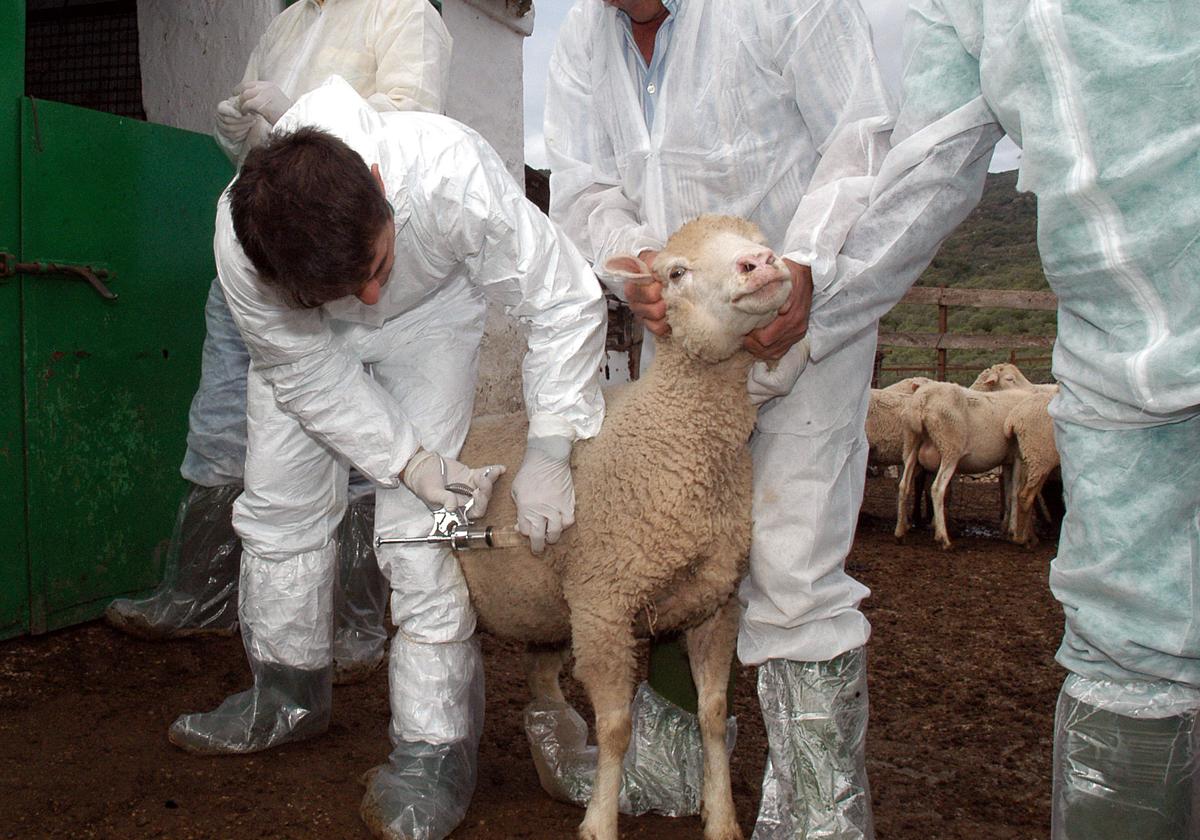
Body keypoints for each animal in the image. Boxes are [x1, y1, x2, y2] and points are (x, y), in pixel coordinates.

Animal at [453, 214, 792, 840]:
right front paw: (600, 822)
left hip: (545, 602)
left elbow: (712, 715)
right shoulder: (605, 607)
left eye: (761, 237)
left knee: (540, 671)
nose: (761, 262)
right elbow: (615, 727)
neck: (673, 437)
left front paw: (721, 816)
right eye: (676, 273)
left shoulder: (715, 605)